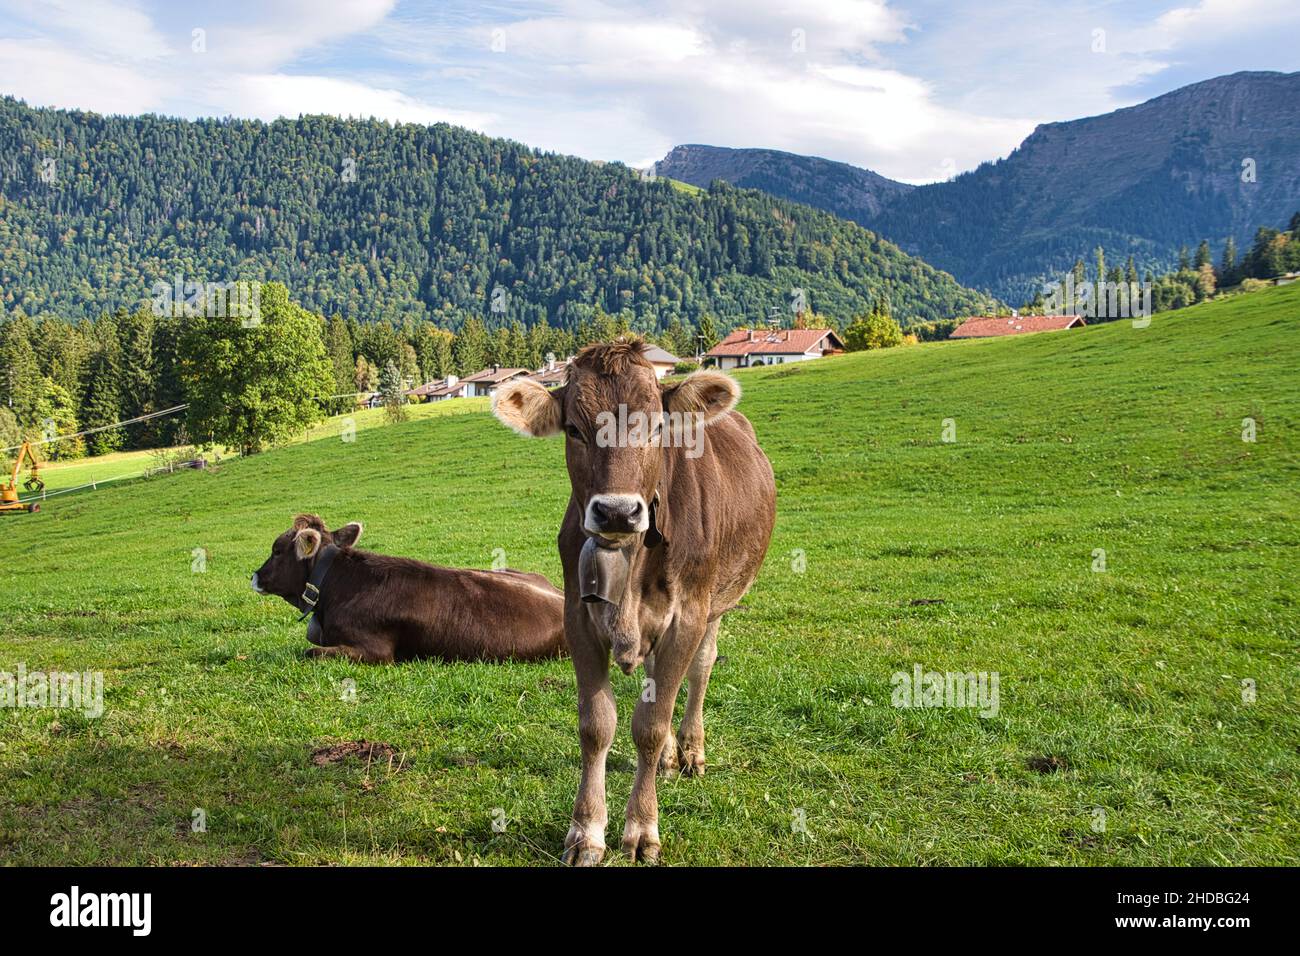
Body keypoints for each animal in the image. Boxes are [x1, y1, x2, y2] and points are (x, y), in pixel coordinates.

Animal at [492, 339, 776, 865]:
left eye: (658, 426)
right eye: (574, 429)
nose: (617, 512)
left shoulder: (686, 617)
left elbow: (651, 724)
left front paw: (642, 827)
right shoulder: (578, 618)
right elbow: (597, 725)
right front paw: (587, 830)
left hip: (716, 605)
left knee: (700, 670)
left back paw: (689, 750)